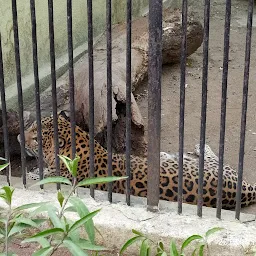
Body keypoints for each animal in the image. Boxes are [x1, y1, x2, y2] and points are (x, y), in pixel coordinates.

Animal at [19, 114, 256, 210]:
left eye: (36, 136)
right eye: (30, 126)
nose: (20, 137)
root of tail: (246, 189)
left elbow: (44, 174)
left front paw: (33, 172)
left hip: (217, 167)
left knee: (213, 157)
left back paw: (199, 146)